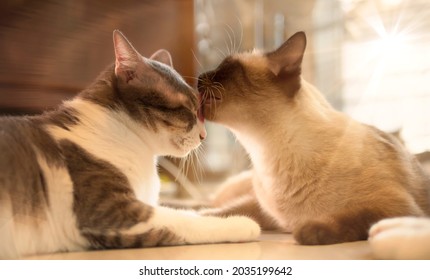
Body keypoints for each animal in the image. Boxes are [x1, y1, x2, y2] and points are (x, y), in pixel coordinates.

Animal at [197, 30, 430, 245]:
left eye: (226, 68)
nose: (199, 77)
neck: (264, 155)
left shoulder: (396, 207)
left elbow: (354, 217)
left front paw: (309, 230)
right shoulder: (264, 208)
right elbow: (232, 209)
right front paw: (201, 218)